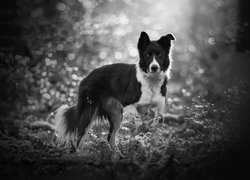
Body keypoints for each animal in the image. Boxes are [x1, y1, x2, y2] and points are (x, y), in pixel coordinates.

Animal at [53, 31, 175, 160]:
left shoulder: (159, 110)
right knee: (81, 134)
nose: (154, 67)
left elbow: (154, 129)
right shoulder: (127, 104)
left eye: (160, 54)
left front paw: (150, 149)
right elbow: (139, 123)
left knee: (110, 137)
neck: (151, 80)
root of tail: (86, 77)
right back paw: (80, 154)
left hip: (115, 113)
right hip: (93, 110)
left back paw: (118, 155)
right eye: (148, 55)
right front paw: (139, 137)